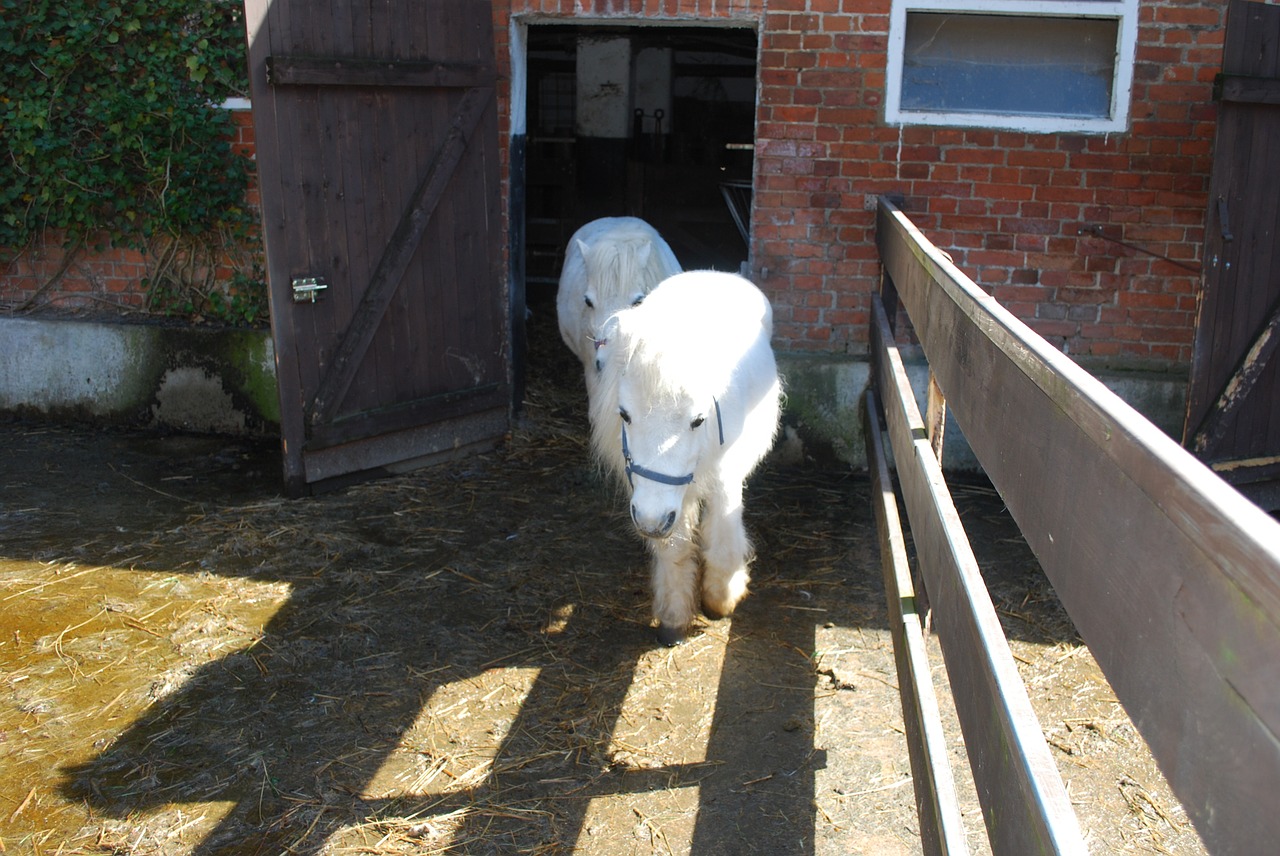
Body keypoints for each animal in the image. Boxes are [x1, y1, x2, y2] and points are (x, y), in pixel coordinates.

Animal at [588, 269, 778, 644]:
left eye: (698, 420)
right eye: (624, 415)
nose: (651, 521)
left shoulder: (723, 480)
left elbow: (723, 542)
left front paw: (721, 599)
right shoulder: (659, 502)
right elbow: (674, 548)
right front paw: (675, 616)